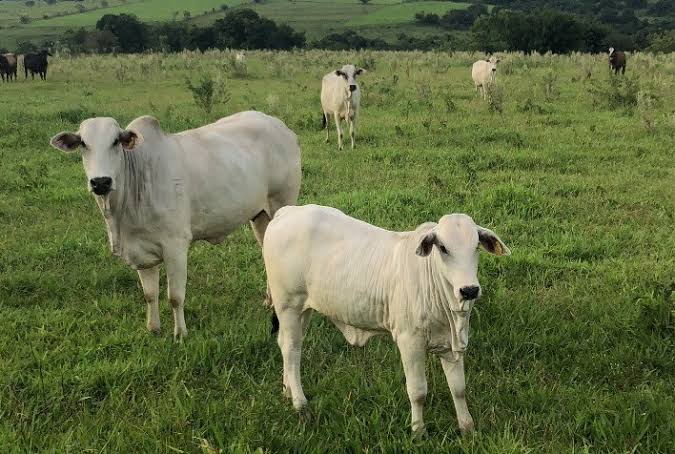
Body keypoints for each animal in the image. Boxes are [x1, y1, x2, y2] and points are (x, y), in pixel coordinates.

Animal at [50, 111, 301, 340]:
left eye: (115, 142)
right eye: (83, 143)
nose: (100, 182)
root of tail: (281, 126)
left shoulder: (176, 246)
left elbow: (175, 296)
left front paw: (180, 333)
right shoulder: (140, 249)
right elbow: (150, 294)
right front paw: (153, 328)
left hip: (281, 203)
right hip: (259, 216)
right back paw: (269, 300)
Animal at [263, 204, 511, 437]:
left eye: (476, 246)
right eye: (443, 248)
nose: (469, 290)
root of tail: (287, 212)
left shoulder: (450, 344)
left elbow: (458, 388)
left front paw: (467, 428)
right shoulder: (409, 341)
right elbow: (418, 391)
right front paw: (418, 431)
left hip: (303, 310)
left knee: (288, 346)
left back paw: (287, 390)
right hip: (288, 304)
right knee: (291, 349)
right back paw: (300, 404)